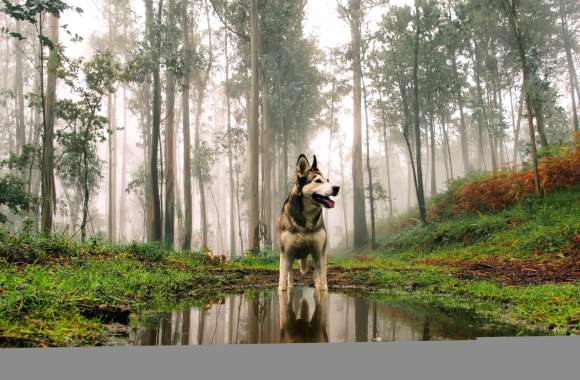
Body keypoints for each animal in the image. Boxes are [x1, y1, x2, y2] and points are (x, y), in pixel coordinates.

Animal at [278, 154, 340, 290]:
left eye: (328, 180)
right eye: (318, 181)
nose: (337, 188)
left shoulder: (319, 253)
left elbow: (323, 286)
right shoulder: (286, 254)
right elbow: (282, 285)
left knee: (317, 276)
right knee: (290, 276)